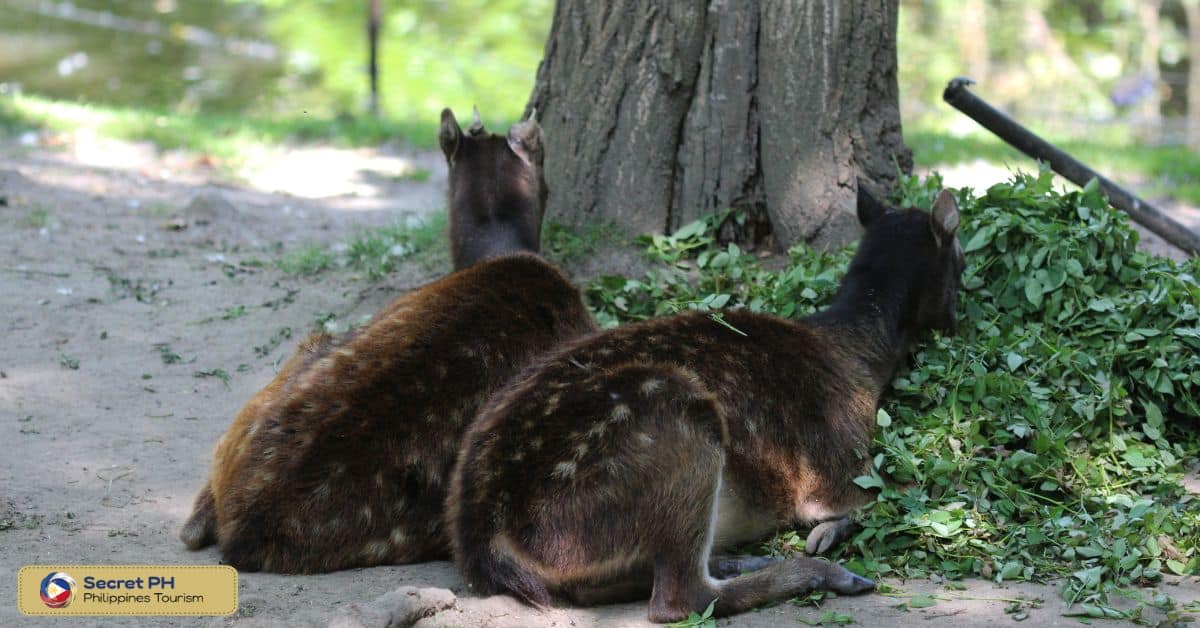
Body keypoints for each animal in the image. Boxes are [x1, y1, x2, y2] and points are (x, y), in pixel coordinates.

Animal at [446, 186, 965, 622]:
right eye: (960, 257)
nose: (958, 318)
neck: (862, 358)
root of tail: (485, 538)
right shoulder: (842, 461)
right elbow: (889, 499)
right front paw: (829, 534)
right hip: (677, 423)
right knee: (679, 599)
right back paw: (823, 575)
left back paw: (739, 559)